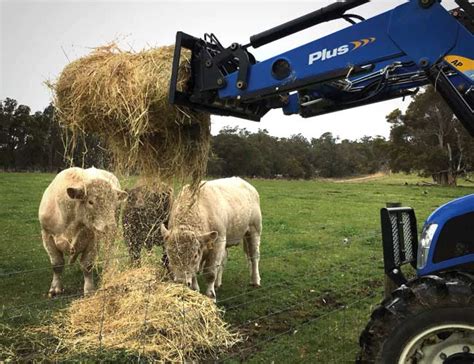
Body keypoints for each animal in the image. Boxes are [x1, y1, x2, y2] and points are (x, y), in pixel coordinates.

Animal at [38, 167, 128, 296]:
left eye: (114, 203)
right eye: (90, 202)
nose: (110, 226)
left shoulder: (93, 240)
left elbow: (87, 265)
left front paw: (89, 289)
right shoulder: (47, 235)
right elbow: (57, 264)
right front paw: (55, 288)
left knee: (108, 253)